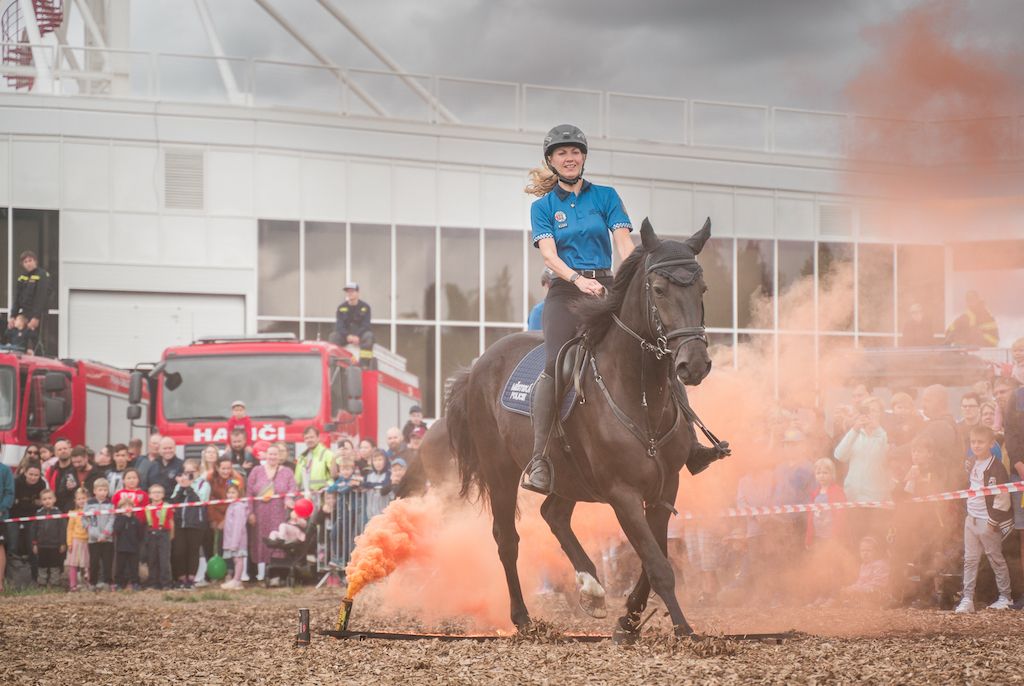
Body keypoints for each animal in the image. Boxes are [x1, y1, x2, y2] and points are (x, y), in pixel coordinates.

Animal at [444, 219, 724, 638]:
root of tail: (477, 366)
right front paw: (682, 629)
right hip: (501, 471)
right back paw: (523, 618)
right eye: (659, 289)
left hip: (571, 475)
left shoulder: (664, 487)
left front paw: (629, 617)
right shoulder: (622, 492)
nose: (694, 365)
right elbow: (658, 563)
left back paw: (591, 587)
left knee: (554, 515)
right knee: (507, 538)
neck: (640, 394)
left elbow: (652, 557)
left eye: (701, 289)